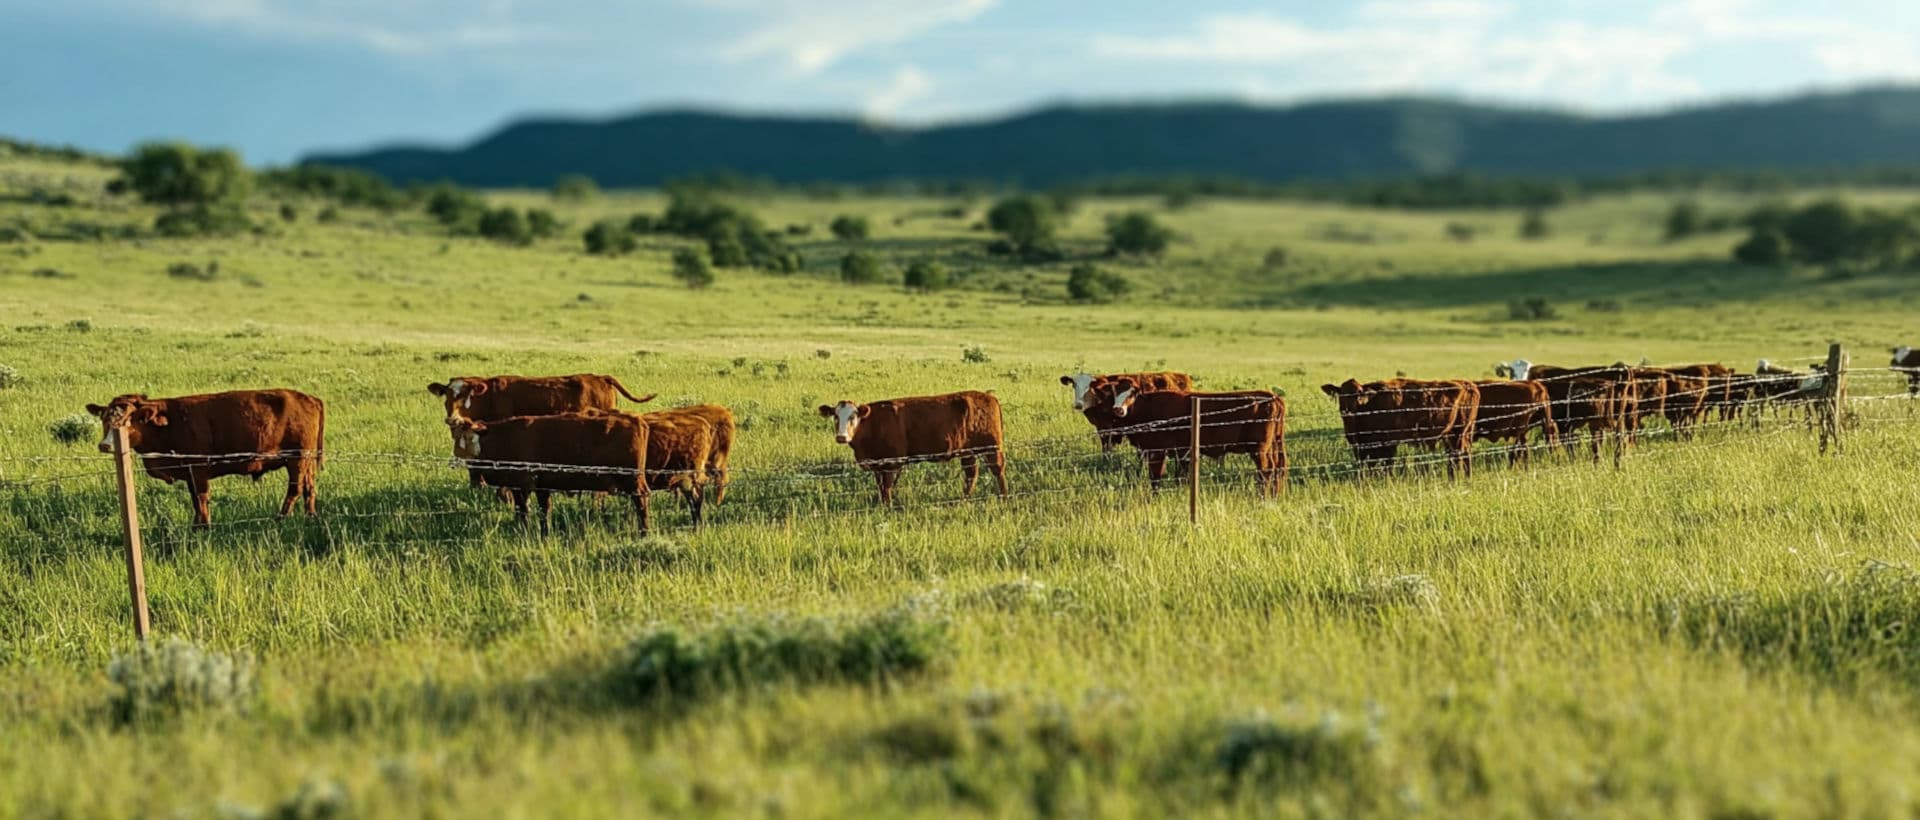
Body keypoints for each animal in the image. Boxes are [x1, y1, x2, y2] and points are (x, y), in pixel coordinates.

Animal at [85, 389, 325, 528]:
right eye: (105, 418)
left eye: (127, 421)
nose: (105, 444)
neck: (169, 422)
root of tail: (309, 398)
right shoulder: (189, 472)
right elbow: (194, 500)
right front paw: (195, 525)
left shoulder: (199, 470)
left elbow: (201, 499)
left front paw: (204, 527)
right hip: (307, 462)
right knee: (309, 487)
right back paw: (311, 516)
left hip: (297, 459)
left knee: (294, 489)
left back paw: (281, 518)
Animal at [448, 412, 649, 536]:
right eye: (458, 439)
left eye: (471, 437)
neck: (505, 438)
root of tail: (636, 420)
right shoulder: (539, 486)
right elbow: (542, 511)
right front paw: (543, 532)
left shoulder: (523, 485)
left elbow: (525, 510)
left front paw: (525, 531)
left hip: (633, 482)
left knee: (642, 503)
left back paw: (644, 531)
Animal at [818, 391, 1007, 505]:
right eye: (835, 416)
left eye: (853, 416)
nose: (841, 437)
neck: (873, 424)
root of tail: (988, 396)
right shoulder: (878, 464)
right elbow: (880, 486)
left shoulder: (893, 461)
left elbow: (887, 486)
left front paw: (888, 507)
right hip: (968, 452)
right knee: (971, 475)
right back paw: (963, 500)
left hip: (992, 447)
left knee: (998, 471)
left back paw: (1004, 497)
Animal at [1099, 381, 1286, 494]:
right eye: (1115, 393)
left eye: (1132, 394)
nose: (1118, 410)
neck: (1150, 407)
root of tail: (1273, 397)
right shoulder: (1181, 453)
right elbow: (1180, 477)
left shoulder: (1157, 451)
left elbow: (1156, 477)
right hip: (1272, 446)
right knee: (1278, 468)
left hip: (1259, 449)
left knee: (1266, 470)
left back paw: (1262, 497)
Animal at [1320, 379, 1480, 478]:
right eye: (1342, 394)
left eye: (1359, 395)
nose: (1347, 410)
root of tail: (1468, 384)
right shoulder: (1360, 448)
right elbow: (1365, 467)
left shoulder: (1389, 444)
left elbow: (1387, 465)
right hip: (1452, 435)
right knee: (1458, 455)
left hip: (1459, 433)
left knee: (1459, 455)